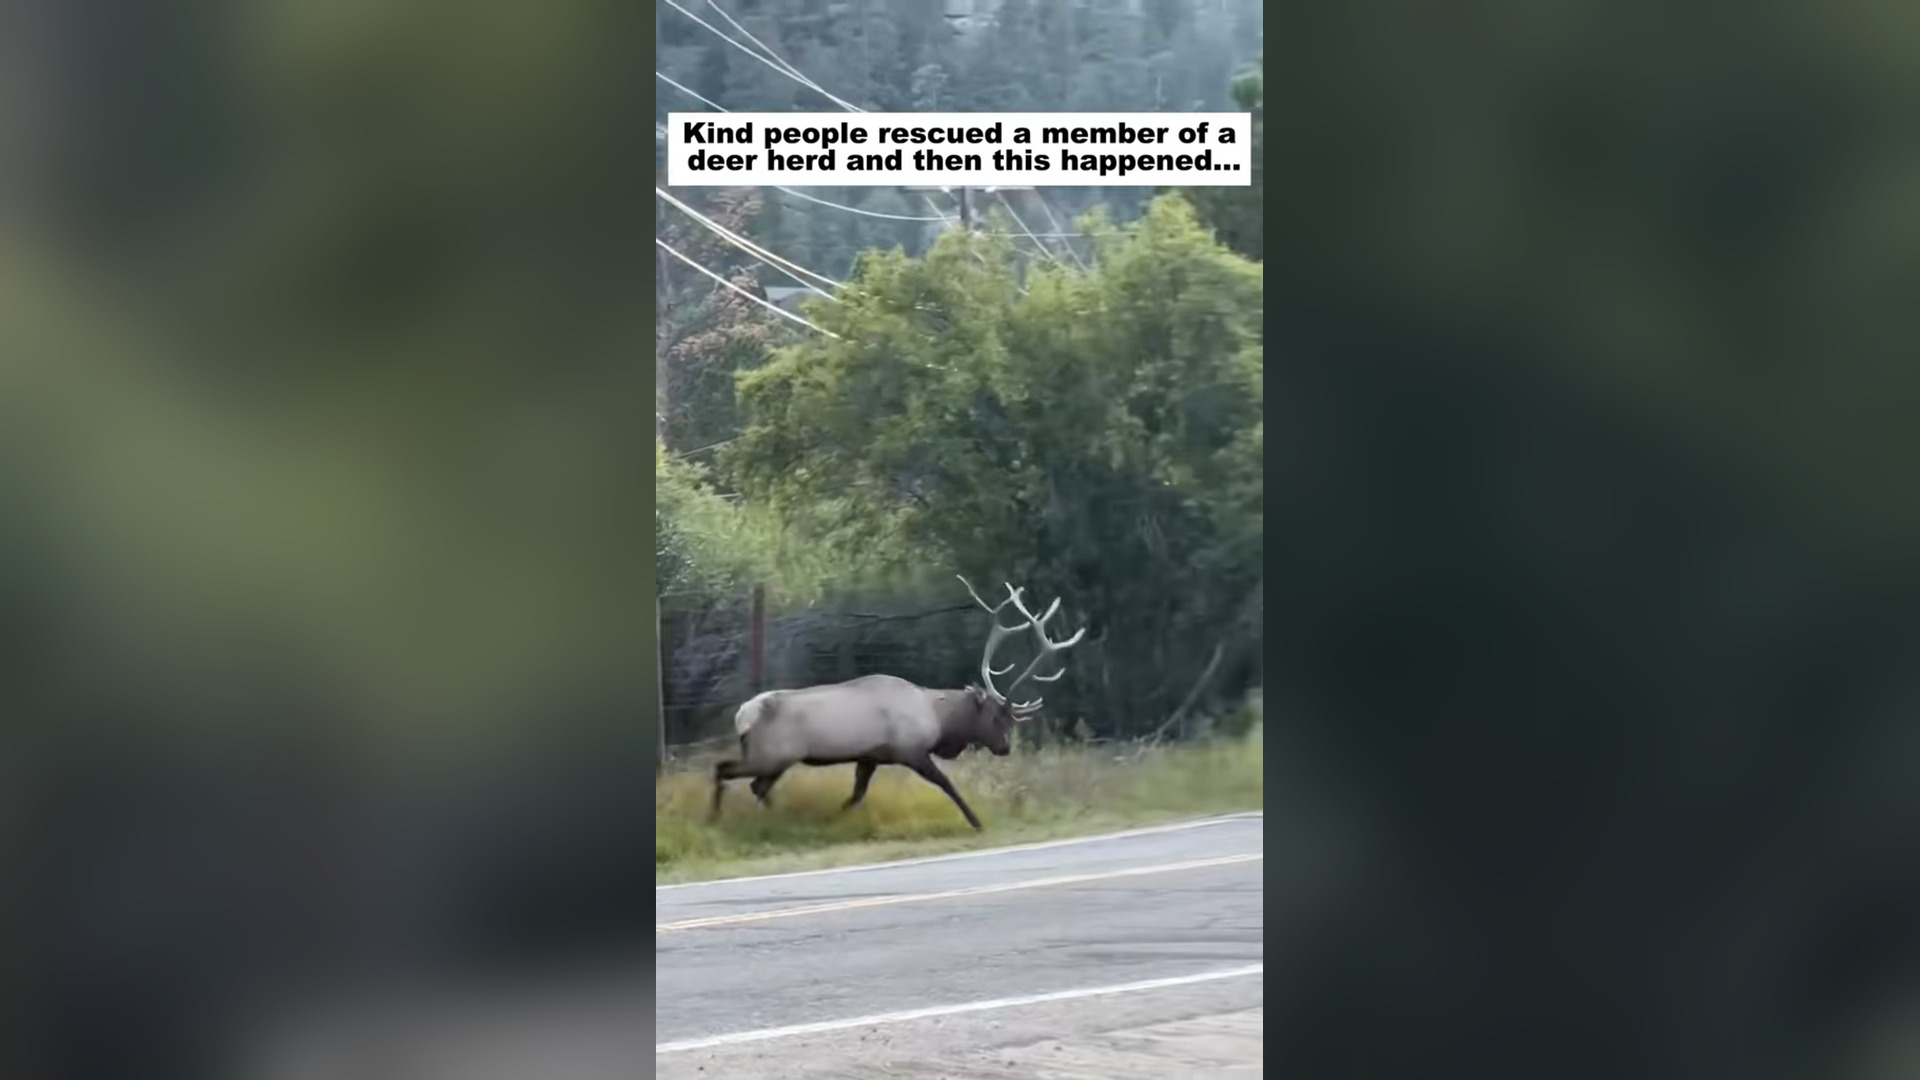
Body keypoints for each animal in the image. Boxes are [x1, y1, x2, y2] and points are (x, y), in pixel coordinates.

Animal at [708, 576, 1087, 830]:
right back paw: (724, 816)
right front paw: (976, 821)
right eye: (995, 717)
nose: (1005, 748)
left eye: (1010, 720)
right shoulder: (911, 751)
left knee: (752, 783)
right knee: (727, 770)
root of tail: (742, 715)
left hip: (773, 759)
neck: (938, 718)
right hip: (773, 754)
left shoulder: (870, 757)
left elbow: (856, 795)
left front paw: (834, 818)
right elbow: (947, 784)